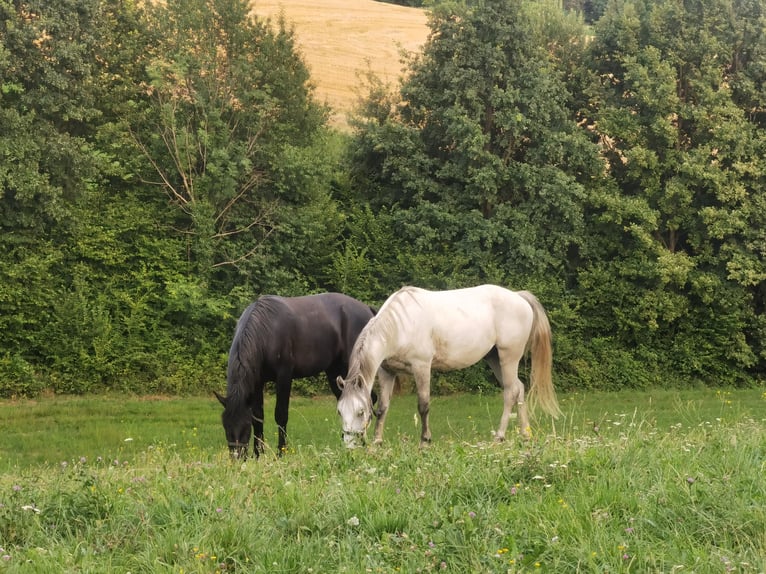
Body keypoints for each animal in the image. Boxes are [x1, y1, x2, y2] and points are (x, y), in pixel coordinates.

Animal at [216, 292, 376, 460]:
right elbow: (258, 416)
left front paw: (281, 453)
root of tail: (367, 309)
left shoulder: (284, 377)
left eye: (245, 426)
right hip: (335, 373)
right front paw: (259, 454)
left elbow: (281, 414)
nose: (237, 457)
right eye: (225, 425)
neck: (266, 331)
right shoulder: (257, 382)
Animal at [340, 286, 560, 450]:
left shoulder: (421, 366)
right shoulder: (387, 372)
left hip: (508, 357)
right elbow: (383, 408)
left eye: (360, 412)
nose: (350, 447)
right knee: (519, 388)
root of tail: (519, 297)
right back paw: (525, 435)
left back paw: (500, 436)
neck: (399, 325)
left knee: (510, 392)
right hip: (495, 358)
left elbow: (423, 405)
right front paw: (377, 441)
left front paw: (425, 441)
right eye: (340, 411)